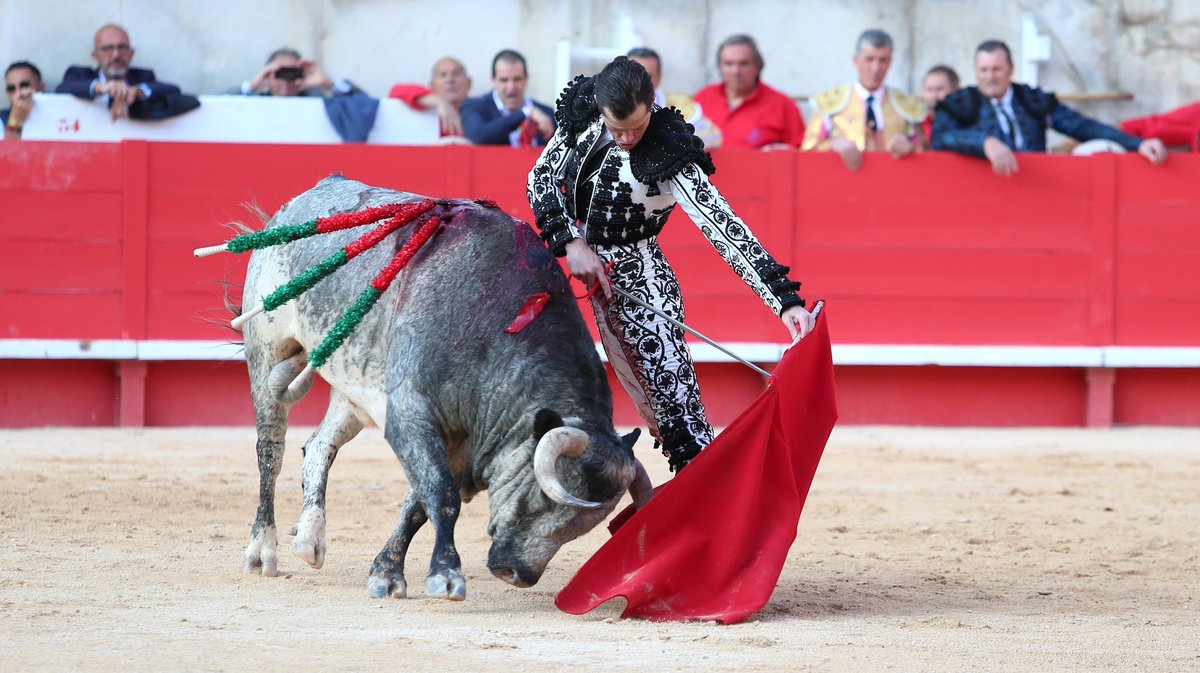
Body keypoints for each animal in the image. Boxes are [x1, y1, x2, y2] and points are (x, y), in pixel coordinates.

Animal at [240, 173, 652, 597]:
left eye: (582, 526)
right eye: (544, 496)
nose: (517, 573)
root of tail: (295, 205)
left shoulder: (464, 438)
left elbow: (419, 503)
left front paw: (387, 573)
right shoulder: (409, 415)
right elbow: (441, 493)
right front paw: (446, 575)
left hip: (353, 377)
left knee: (320, 444)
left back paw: (310, 540)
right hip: (265, 349)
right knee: (270, 451)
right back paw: (262, 551)